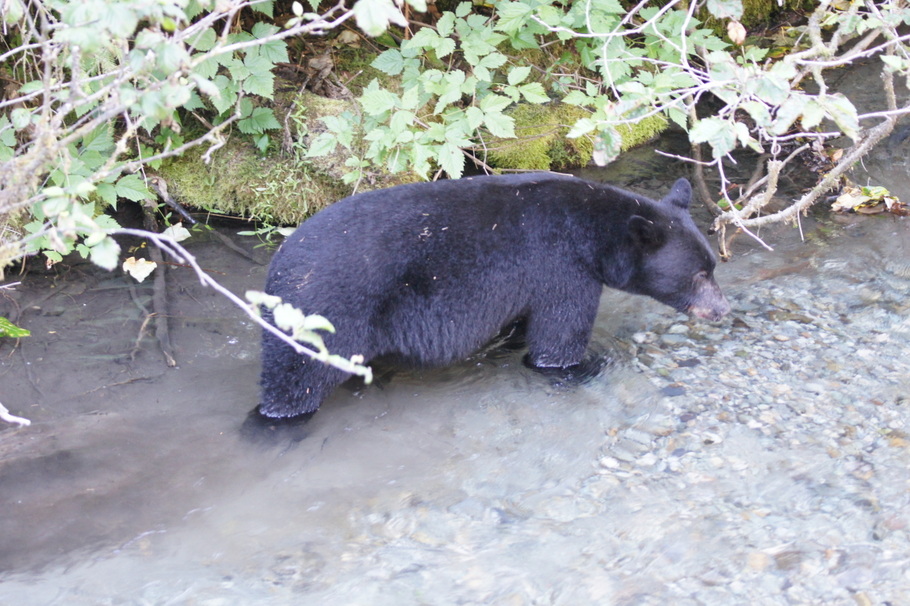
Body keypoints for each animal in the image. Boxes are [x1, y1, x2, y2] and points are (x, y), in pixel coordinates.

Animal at [258, 172, 729, 420]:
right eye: (699, 273)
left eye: (712, 266)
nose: (723, 309)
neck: (591, 232)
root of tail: (277, 269)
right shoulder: (562, 268)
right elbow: (558, 339)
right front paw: (586, 366)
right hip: (326, 312)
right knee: (295, 380)